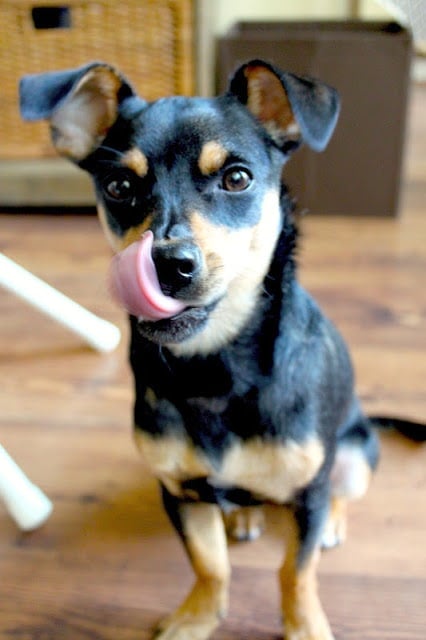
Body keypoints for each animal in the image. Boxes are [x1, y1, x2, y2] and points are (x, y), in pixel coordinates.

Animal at [20, 57, 388, 636]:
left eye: (237, 178)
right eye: (119, 186)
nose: (167, 265)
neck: (213, 366)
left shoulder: (307, 493)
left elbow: (296, 571)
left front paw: (305, 626)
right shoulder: (181, 491)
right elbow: (209, 565)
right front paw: (196, 619)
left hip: (353, 456)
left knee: (339, 493)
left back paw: (327, 522)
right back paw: (245, 514)